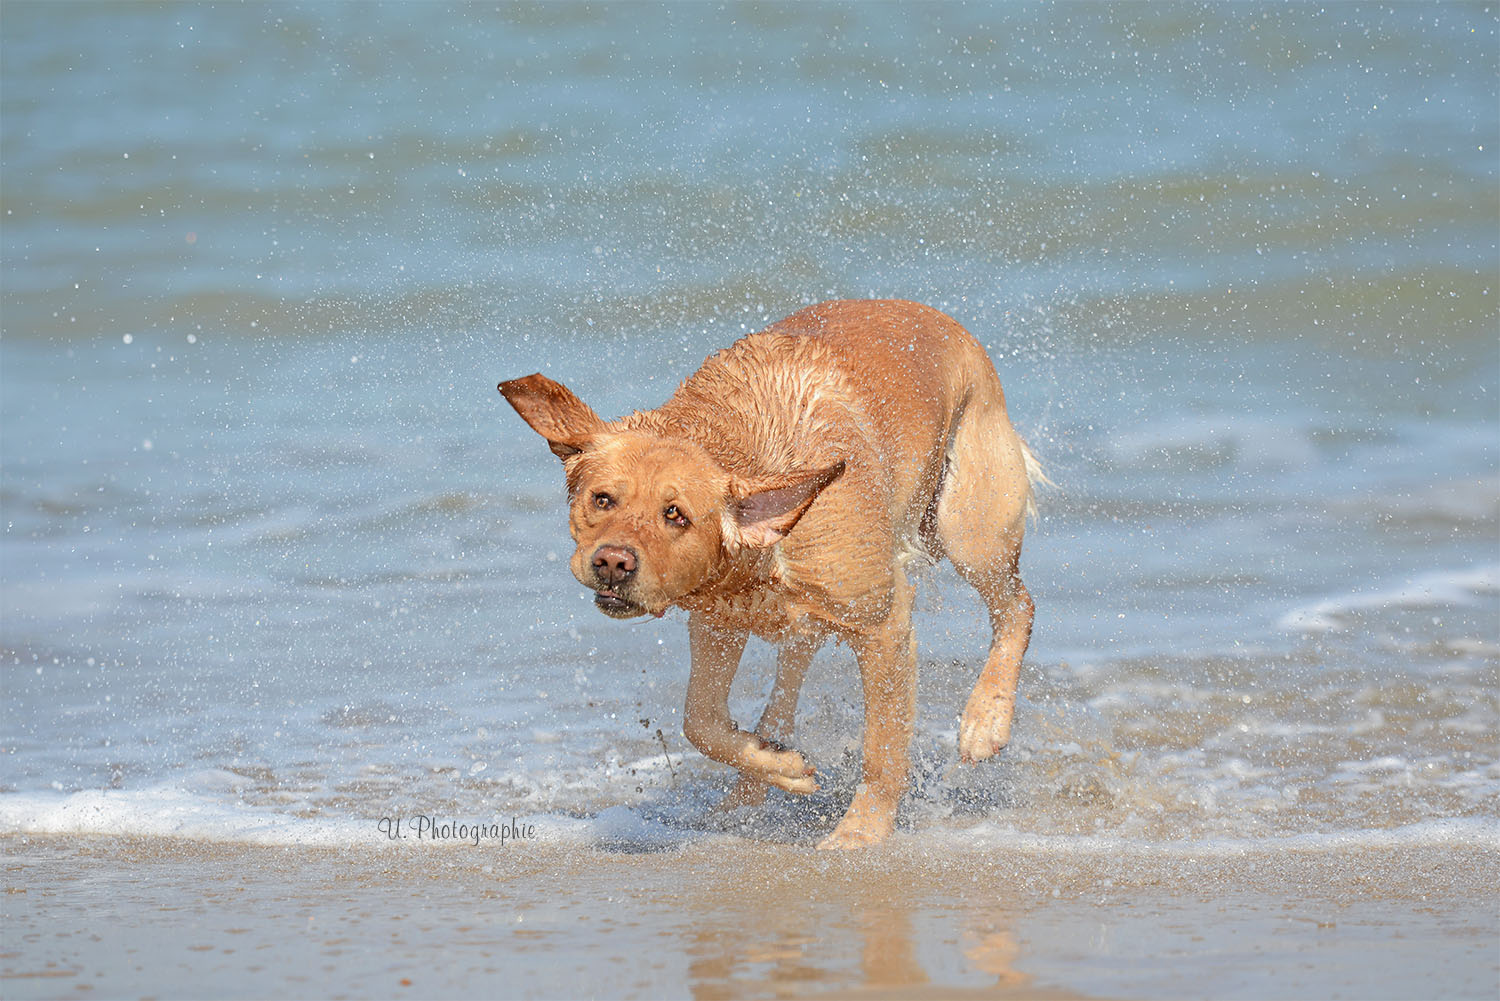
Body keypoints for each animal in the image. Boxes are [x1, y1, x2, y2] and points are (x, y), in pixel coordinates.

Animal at [498, 301, 1038, 852]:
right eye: (602, 499)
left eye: (676, 514)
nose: (612, 562)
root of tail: (939, 317)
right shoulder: (717, 622)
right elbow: (700, 720)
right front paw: (781, 766)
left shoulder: (883, 624)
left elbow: (883, 747)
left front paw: (861, 834)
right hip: (815, 613)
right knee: (786, 686)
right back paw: (752, 786)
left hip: (971, 529)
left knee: (1017, 606)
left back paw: (985, 721)